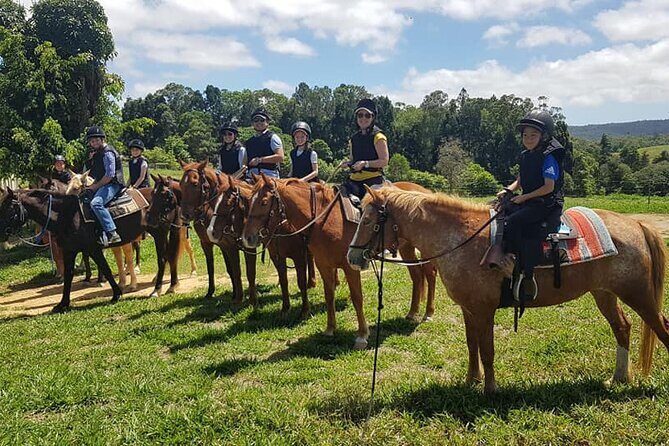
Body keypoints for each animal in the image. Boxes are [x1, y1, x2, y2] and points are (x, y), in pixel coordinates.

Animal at [178, 161, 257, 305]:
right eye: (181, 184)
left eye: (195, 183)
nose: (185, 215)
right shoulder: (214, 244)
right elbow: (220, 268)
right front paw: (214, 292)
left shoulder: (241, 246)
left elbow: (244, 271)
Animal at [206, 173, 318, 318]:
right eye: (214, 203)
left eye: (228, 203)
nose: (211, 232)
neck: (283, 225)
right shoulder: (275, 255)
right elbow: (282, 280)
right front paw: (285, 308)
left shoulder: (297, 255)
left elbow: (300, 281)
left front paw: (304, 311)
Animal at [241, 174, 438, 350]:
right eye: (249, 201)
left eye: (264, 202)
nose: (247, 238)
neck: (325, 219)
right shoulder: (323, 265)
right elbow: (329, 296)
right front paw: (330, 329)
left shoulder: (350, 266)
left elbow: (357, 298)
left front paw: (362, 335)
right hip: (406, 248)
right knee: (417, 276)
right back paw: (412, 312)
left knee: (430, 273)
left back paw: (428, 313)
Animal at [347, 186, 669, 394]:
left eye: (370, 220)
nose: (352, 257)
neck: (461, 238)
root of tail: (636, 224)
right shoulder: (469, 309)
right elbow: (472, 346)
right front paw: (471, 380)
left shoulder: (484, 310)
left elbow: (487, 350)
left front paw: (490, 389)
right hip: (604, 293)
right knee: (623, 327)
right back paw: (618, 378)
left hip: (638, 295)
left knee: (661, 328)